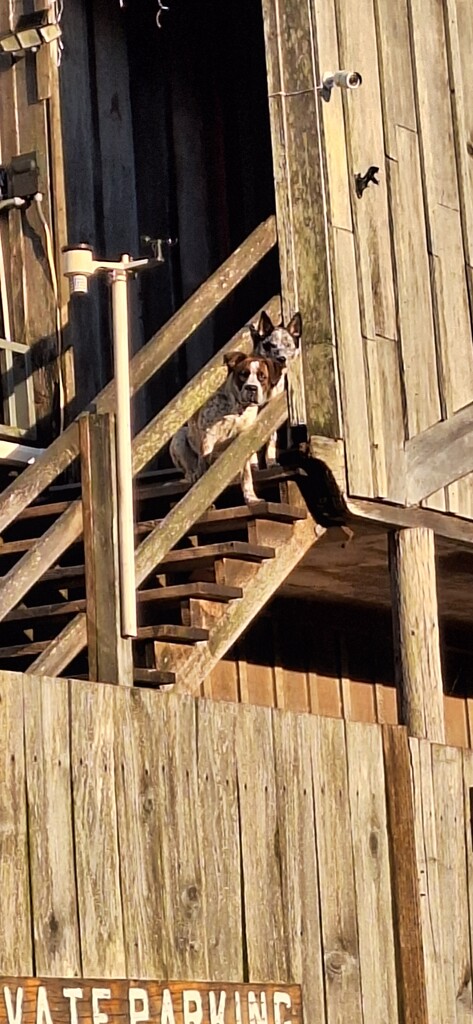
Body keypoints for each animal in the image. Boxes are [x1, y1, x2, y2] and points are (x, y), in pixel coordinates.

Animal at [168, 354, 282, 505]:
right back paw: (193, 474)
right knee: (190, 469)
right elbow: (205, 472)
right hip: (179, 437)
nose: (251, 388)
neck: (237, 409)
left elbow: (246, 476)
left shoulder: (243, 441)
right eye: (243, 374)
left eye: (262, 376)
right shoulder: (208, 438)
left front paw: (251, 497)